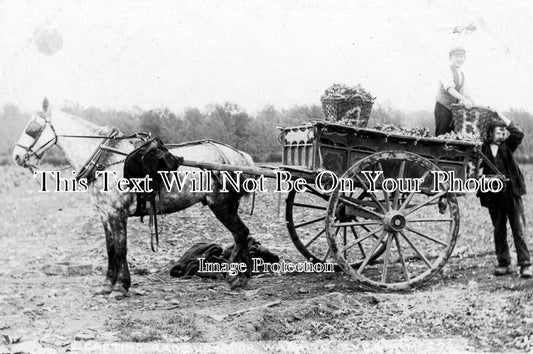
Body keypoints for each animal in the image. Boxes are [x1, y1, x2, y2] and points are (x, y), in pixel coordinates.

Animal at [10, 99, 256, 296]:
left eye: (32, 128)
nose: (17, 156)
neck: (106, 158)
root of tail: (238, 155)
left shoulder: (117, 213)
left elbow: (121, 249)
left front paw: (121, 287)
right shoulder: (106, 213)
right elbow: (110, 248)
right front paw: (108, 285)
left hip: (222, 205)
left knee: (241, 233)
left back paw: (239, 276)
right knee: (240, 235)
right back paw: (239, 274)